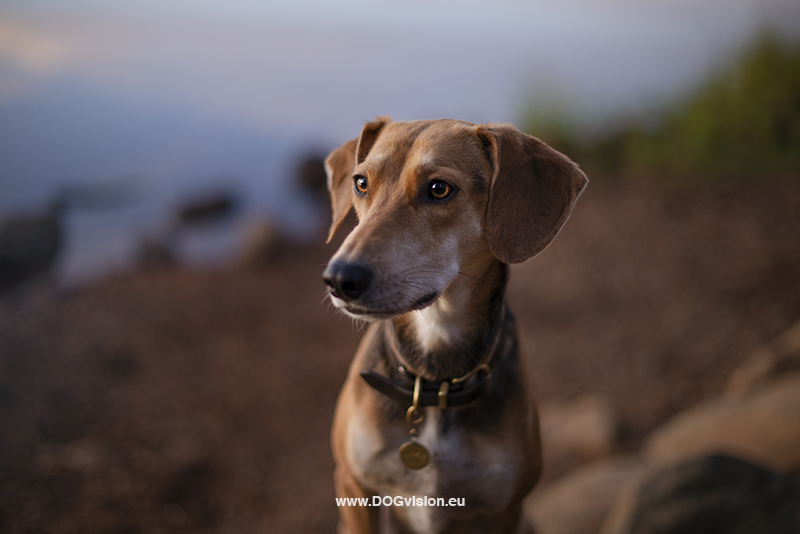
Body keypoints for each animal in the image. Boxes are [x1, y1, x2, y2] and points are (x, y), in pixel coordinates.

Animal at [322, 118, 584, 534]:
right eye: (361, 183)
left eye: (439, 189)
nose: (339, 278)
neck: (434, 382)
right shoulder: (353, 486)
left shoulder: (504, 509)